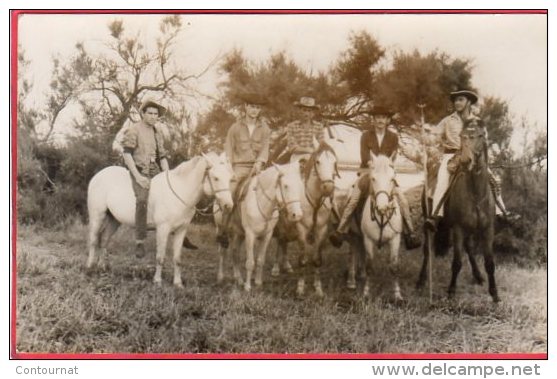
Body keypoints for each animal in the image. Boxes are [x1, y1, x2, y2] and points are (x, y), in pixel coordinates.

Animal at [86, 152, 232, 288]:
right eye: (216, 178)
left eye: (230, 178)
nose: (228, 206)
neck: (180, 190)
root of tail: (98, 175)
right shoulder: (163, 229)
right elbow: (160, 257)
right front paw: (157, 281)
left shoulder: (181, 230)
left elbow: (177, 258)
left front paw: (178, 283)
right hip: (97, 216)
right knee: (93, 240)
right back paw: (90, 267)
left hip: (114, 220)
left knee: (105, 239)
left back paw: (102, 267)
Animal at [217, 162, 304, 292]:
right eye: (285, 186)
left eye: (300, 186)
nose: (297, 215)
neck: (262, 203)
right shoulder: (250, 235)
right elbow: (250, 262)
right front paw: (248, 286)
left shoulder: (266, 236)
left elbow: (260, 260)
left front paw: (258, 283)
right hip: (222, 230)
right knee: (222, 252)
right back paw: (220, 277)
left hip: (238, 234)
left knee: (235, 253)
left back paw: (239, 279)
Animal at [270, 141, 336, 298]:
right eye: (318, 162)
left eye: (334, 162)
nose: (328, 187)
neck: (315, 201)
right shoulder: (302, 230)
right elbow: (303, 260)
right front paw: (300, 288)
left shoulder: (321, 230)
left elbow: (317, 260)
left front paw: (318, 289)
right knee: (280, 240)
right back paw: (276, 268)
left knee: (283, 242)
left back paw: (287, 266)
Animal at [414, 121, 498, 302]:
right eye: (461, 137)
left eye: (480, 135)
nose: (466, 160)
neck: (476, 194)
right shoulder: (458, 228)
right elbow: (457, 262)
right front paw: (451, 290)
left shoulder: (488, 229)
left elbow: (489, 262)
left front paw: (494, 294)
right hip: (430, 223)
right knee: (427, 251)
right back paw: (421, 281)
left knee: (469, 248)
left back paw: (478, 276)